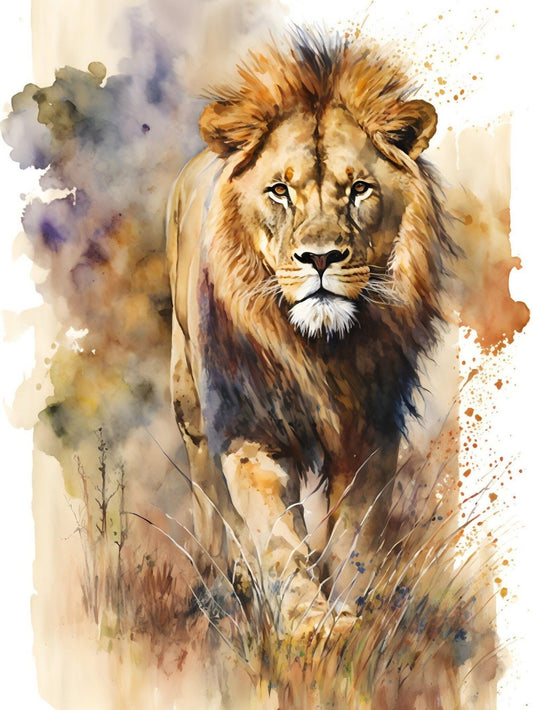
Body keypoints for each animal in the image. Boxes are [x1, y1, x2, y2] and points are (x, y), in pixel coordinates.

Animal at [166, 28, 456, 672]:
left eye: (359, 189)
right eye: (280, 191)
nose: (320, 258)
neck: (319, 352)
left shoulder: (372, 428)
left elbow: (355, 531)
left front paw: (355, 613)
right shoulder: (250, 430)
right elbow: (276, 534)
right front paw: (308, 627)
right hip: (189, 404)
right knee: (207, 500)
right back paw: (221, 585)